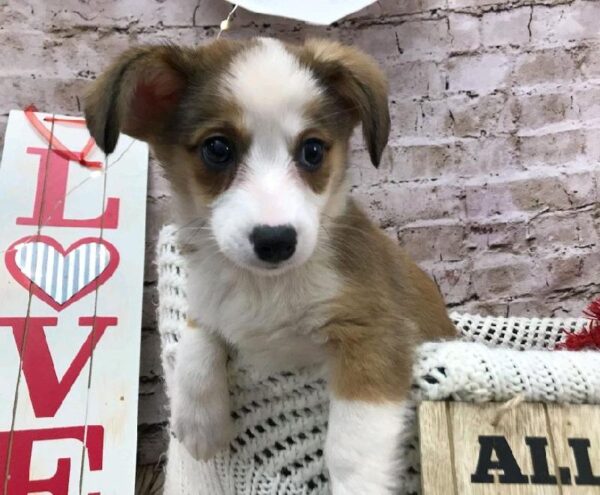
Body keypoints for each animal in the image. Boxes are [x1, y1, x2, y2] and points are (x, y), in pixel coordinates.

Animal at [85, 36, 454, 494]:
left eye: (312, 150)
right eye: (217, 148)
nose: (276, 241)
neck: (264, 288)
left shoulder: (376, 335)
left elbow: (351, 448)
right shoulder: (210, 299)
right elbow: (197, 333)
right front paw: (200, 421)